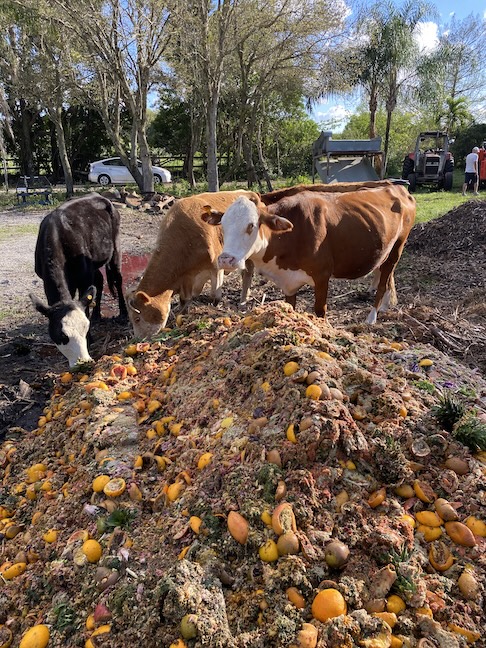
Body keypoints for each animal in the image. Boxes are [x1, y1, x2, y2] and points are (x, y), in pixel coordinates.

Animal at [30, 193, 127, 367]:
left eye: (85, 328)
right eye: (62, 335)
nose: (84, 361)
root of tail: (99, 196)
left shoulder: (83, 277)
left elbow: (85, 304)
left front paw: (90, 338)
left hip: (115, 246)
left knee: (117, 278)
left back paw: (123, 313)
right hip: (93, 263)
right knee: (99, 280)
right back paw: (97, 314)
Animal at [126, 190, 259, 338]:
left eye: (137, 318)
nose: (137, 339)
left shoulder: (216, 266)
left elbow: (214, 297)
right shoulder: (188, 277)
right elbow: (185, 300)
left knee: (247, 274)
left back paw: (243, 302)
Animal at [201, 181, 416, 324]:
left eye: (251, 225)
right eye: (223, 225)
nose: (226, 260)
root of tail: (398, 188)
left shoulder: (322, 276)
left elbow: (320, 311)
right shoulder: (289, 282)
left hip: (398, 247)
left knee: (384, 280)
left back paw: (372, 317)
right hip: (383, 248)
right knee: (384, 274)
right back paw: (386, 306)